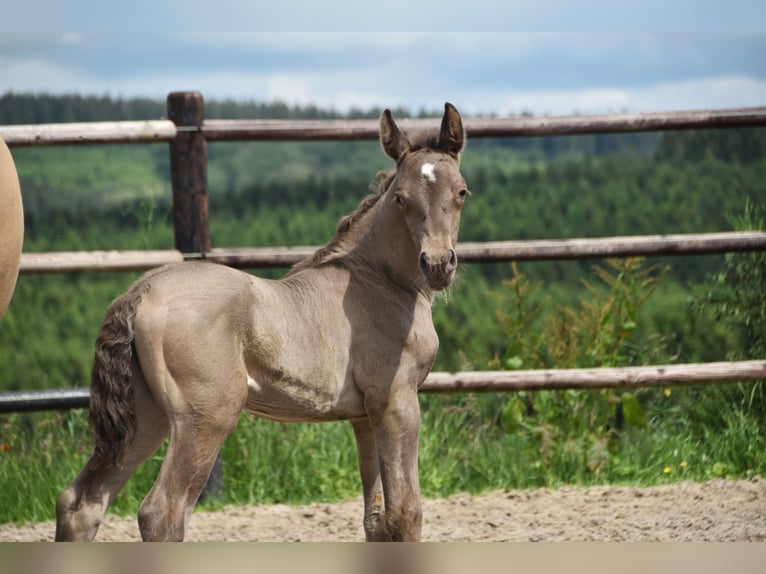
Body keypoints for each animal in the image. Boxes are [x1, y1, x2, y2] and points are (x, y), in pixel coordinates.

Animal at [55, 104, 468, 544]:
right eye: (401, 198)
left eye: (461, 192)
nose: (438, 264)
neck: (378, 279)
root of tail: (141, 291)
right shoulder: (397, 401)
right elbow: (406, 514)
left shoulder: (364, 417)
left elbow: (376, 519)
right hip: (206, 417)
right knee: (161, 512)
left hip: (145, 414)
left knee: (81, 503)